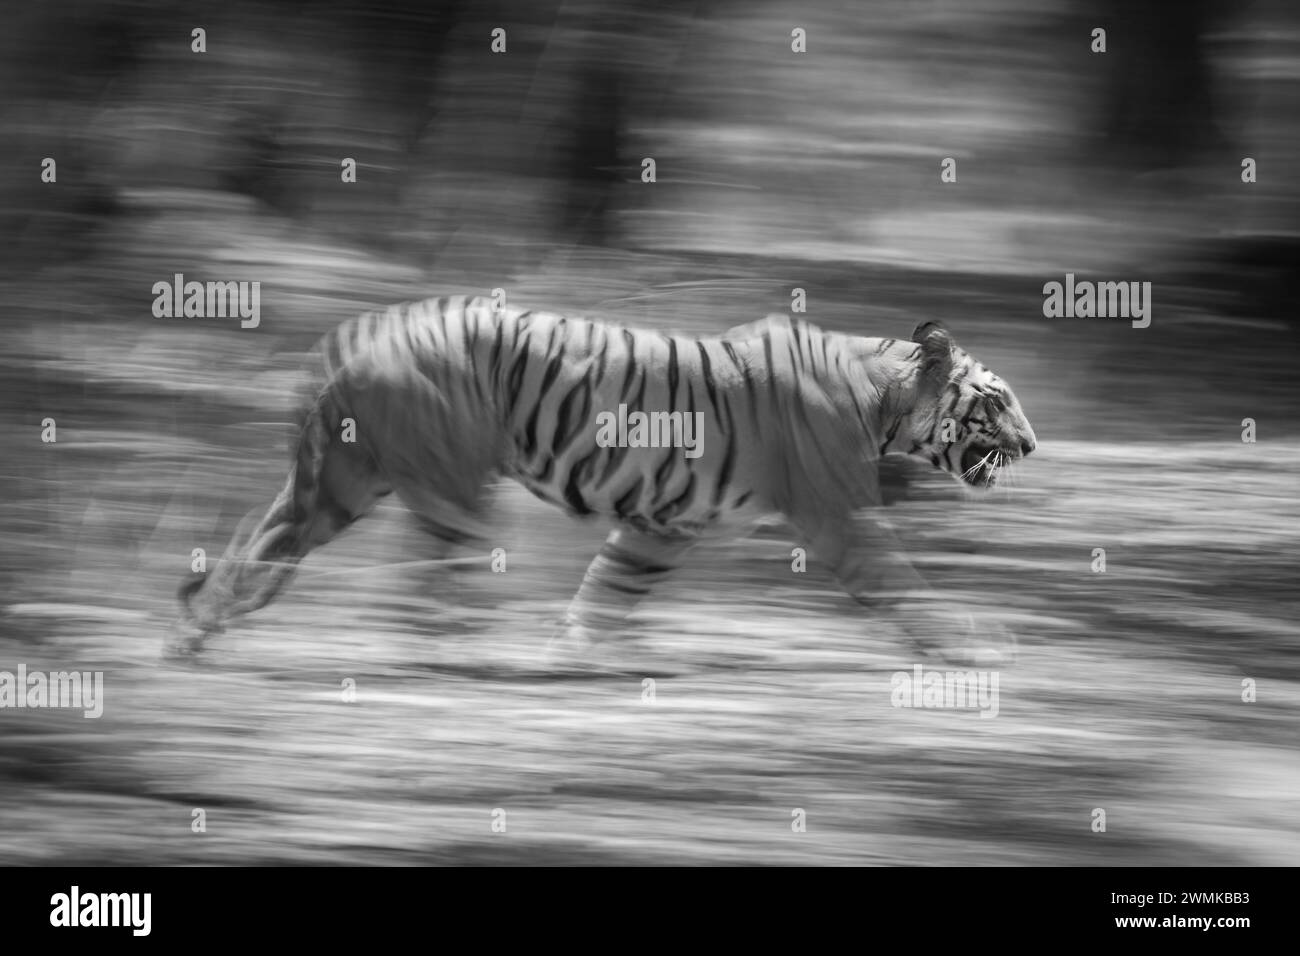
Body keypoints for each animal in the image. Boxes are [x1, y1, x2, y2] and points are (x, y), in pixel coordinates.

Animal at [170, 294, 1036, 658]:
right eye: (996, 399)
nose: (1032, 445)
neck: (881, 392)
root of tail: (359, 329)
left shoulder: (663, 527)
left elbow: (607, 591)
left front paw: (572, 653)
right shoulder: (843, 520)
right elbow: (905, 586)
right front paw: (976, 648)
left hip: (340, 483)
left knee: (260, 542)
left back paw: (199, 629)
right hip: (447, 490)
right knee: (428, 587)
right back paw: (458, 657)